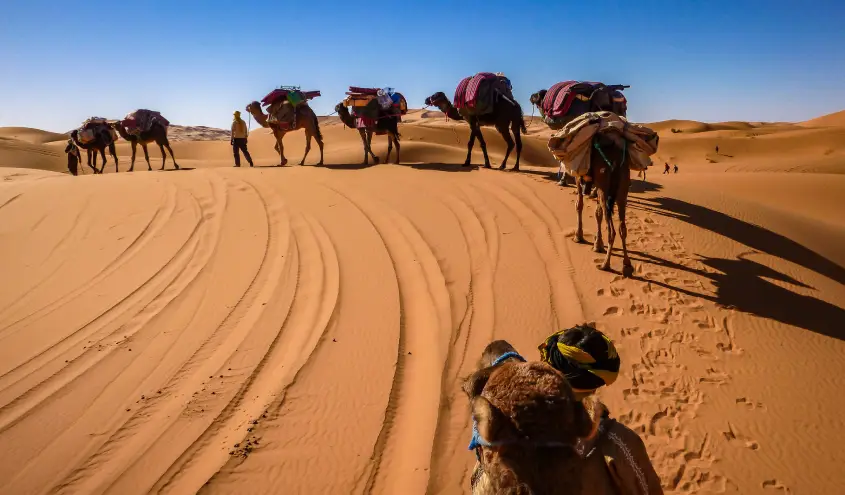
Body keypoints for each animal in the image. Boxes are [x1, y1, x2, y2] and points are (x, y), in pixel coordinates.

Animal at [574, 133, 633, 276]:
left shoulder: (578, 177)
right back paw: (627, 265)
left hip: (604, 186)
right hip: (622, 189)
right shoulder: (595, 186)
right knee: (622, 227)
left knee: (612, 231)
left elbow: (579, 205)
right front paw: (598, 244)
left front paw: (578, 236)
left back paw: (605, 264)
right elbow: (598, 213)